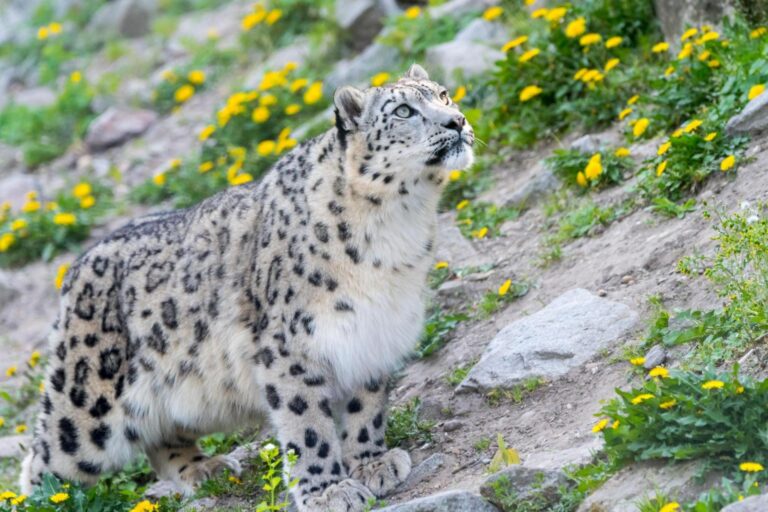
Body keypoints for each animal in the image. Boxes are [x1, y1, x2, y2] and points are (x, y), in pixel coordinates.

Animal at [19, 63, 474, 511]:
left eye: (443, 94)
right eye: (402, 111)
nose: (457, 121)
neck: (398, 226)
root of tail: (75, 268)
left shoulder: (372, 333)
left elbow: (367, 408)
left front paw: (372, 463)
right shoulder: (292, 348)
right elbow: (308, 425)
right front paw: (327, 490)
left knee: (162, 438)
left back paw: (206, 469)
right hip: (86, 411)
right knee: (42, 461)